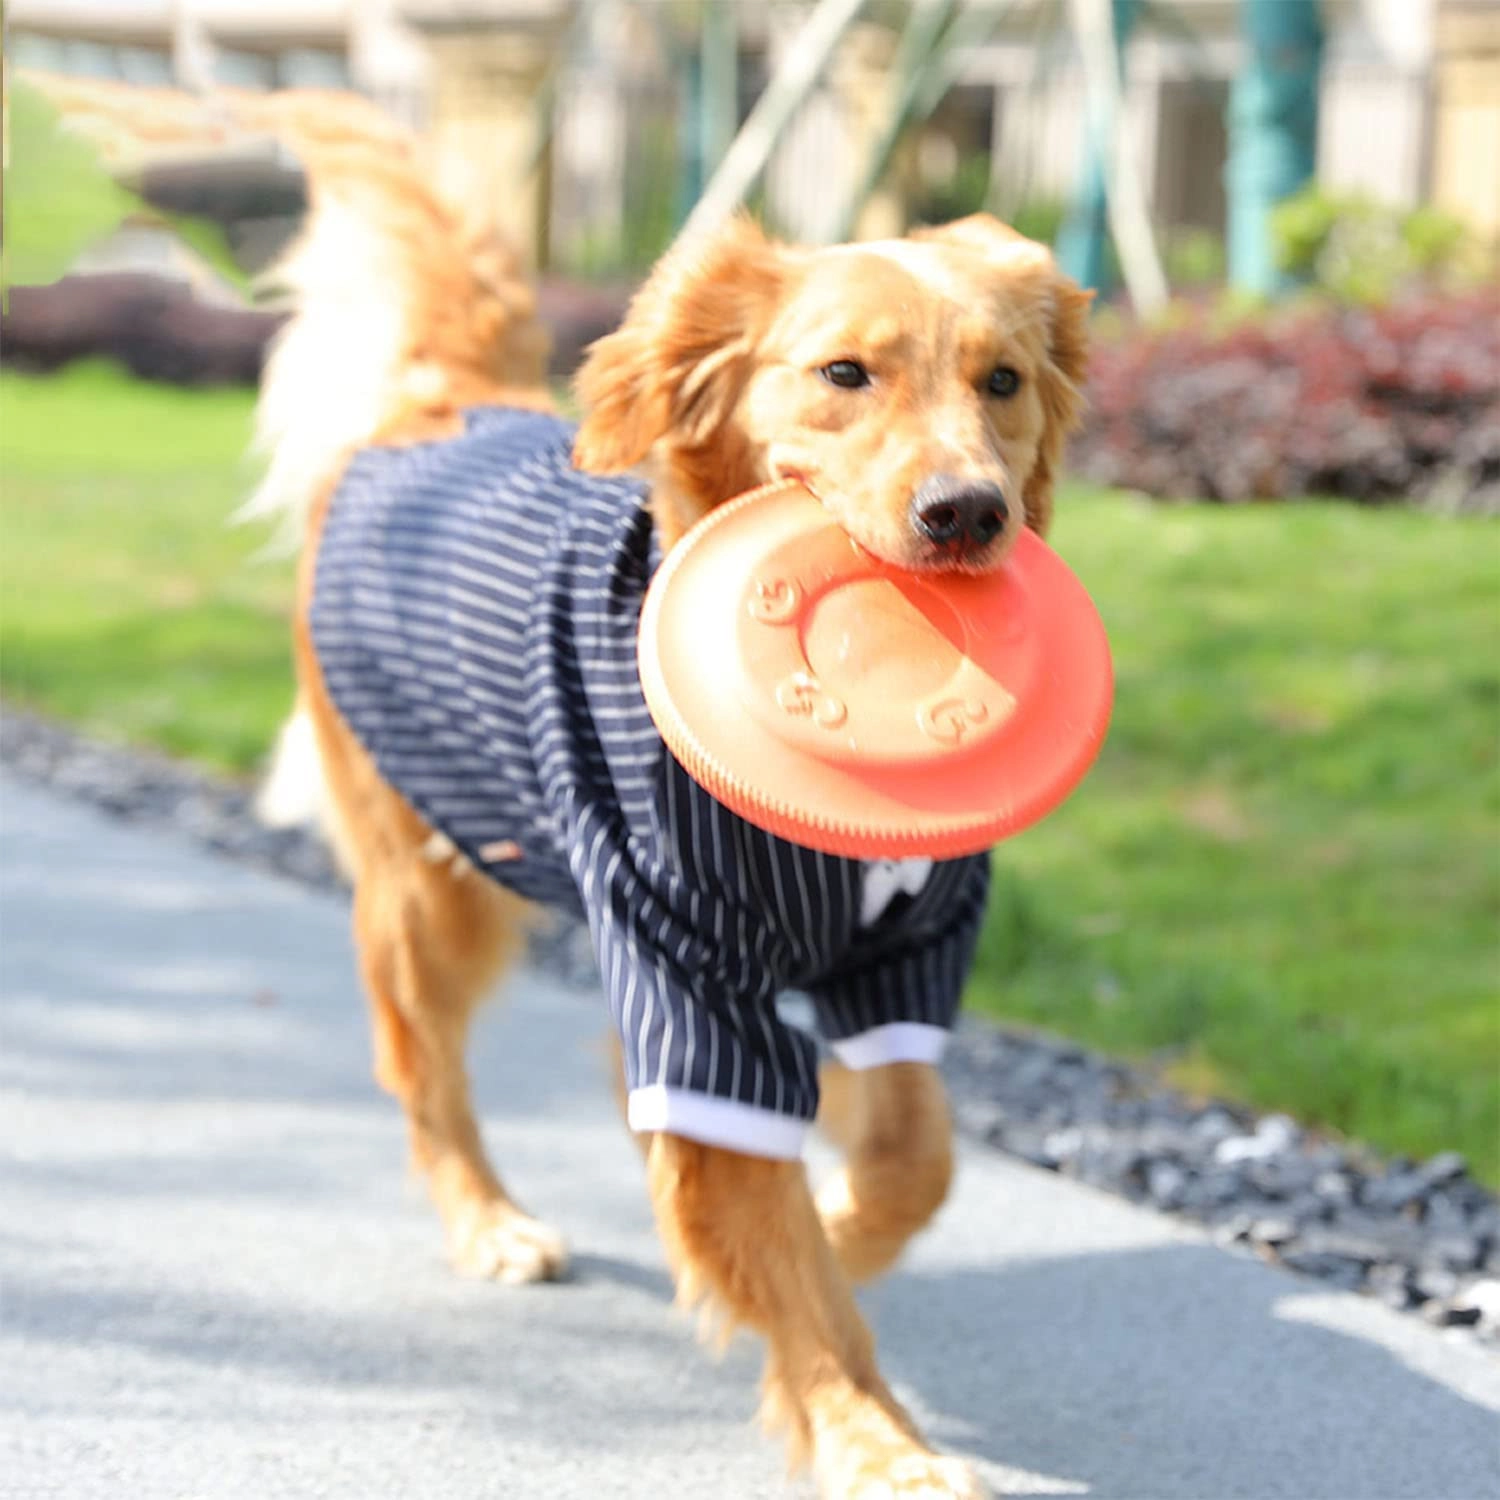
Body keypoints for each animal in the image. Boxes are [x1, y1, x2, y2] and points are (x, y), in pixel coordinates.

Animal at [123, 85, 1092, 1500]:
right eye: (843, 374)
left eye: (1003, 381)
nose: (967, 513)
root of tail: (439, 403)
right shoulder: (691, 978)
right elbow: (781, 1253)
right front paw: (875, 1440)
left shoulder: (906, 956)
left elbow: (912, 1156)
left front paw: (847, 1223)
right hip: (432, 888)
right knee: (422, 1070)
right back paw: (489, 1222)